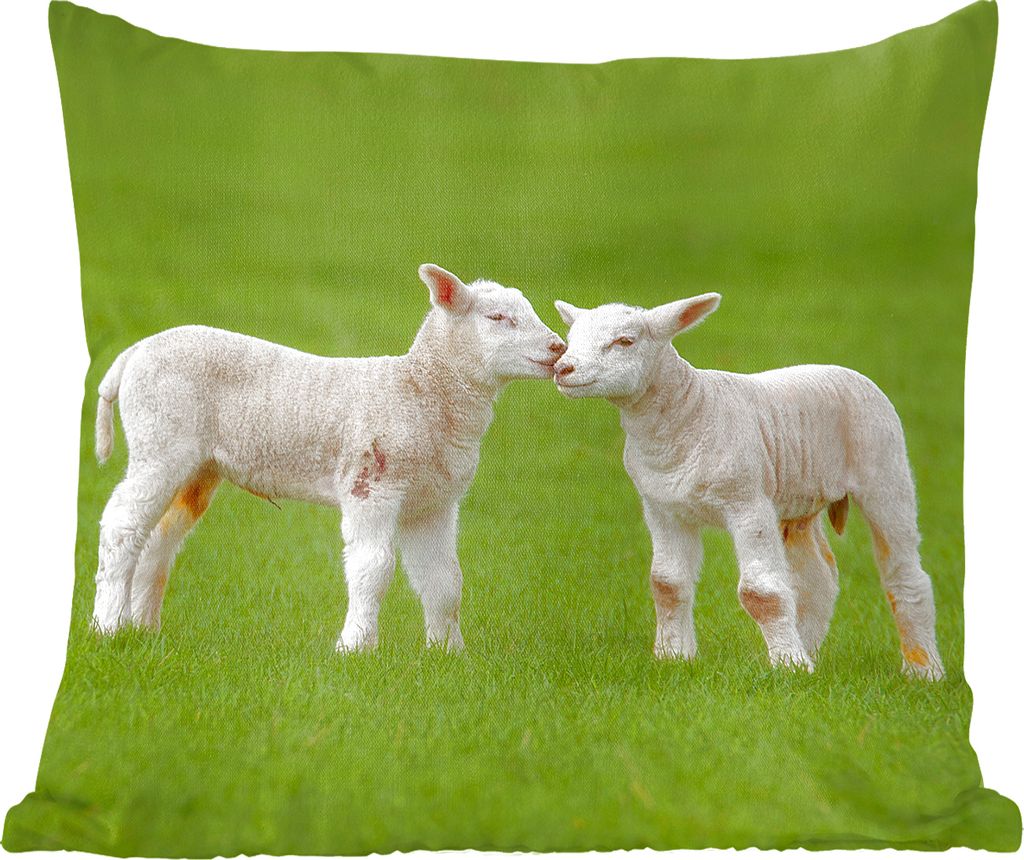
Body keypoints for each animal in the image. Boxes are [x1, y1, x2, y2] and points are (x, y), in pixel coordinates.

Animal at [91, 264, 566, 652]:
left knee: (159, 538)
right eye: (497, 318)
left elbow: (444, 580)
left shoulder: (433, 502)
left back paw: (143, 626)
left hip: (197, 466)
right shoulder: (371, 483)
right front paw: (356, 648)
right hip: (159, 439)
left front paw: (448, 654)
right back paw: (108, 626)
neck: (420, 391)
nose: (559, 347)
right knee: (122, 525)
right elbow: (373, 568)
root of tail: (133, 354)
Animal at [552, 294, 943, 679]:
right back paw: (810, 652)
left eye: (625, 342)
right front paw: (673, 657)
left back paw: (923, 669)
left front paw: (787, 666)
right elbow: (666, 584)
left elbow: (761, 593)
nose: (562, 368)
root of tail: (844, 370)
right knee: (818, 579)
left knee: (906, 574)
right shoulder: (663, 507)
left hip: (884, 465)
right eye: (570, 339)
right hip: (798, 500)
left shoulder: (747, 502)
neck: (687, 413)